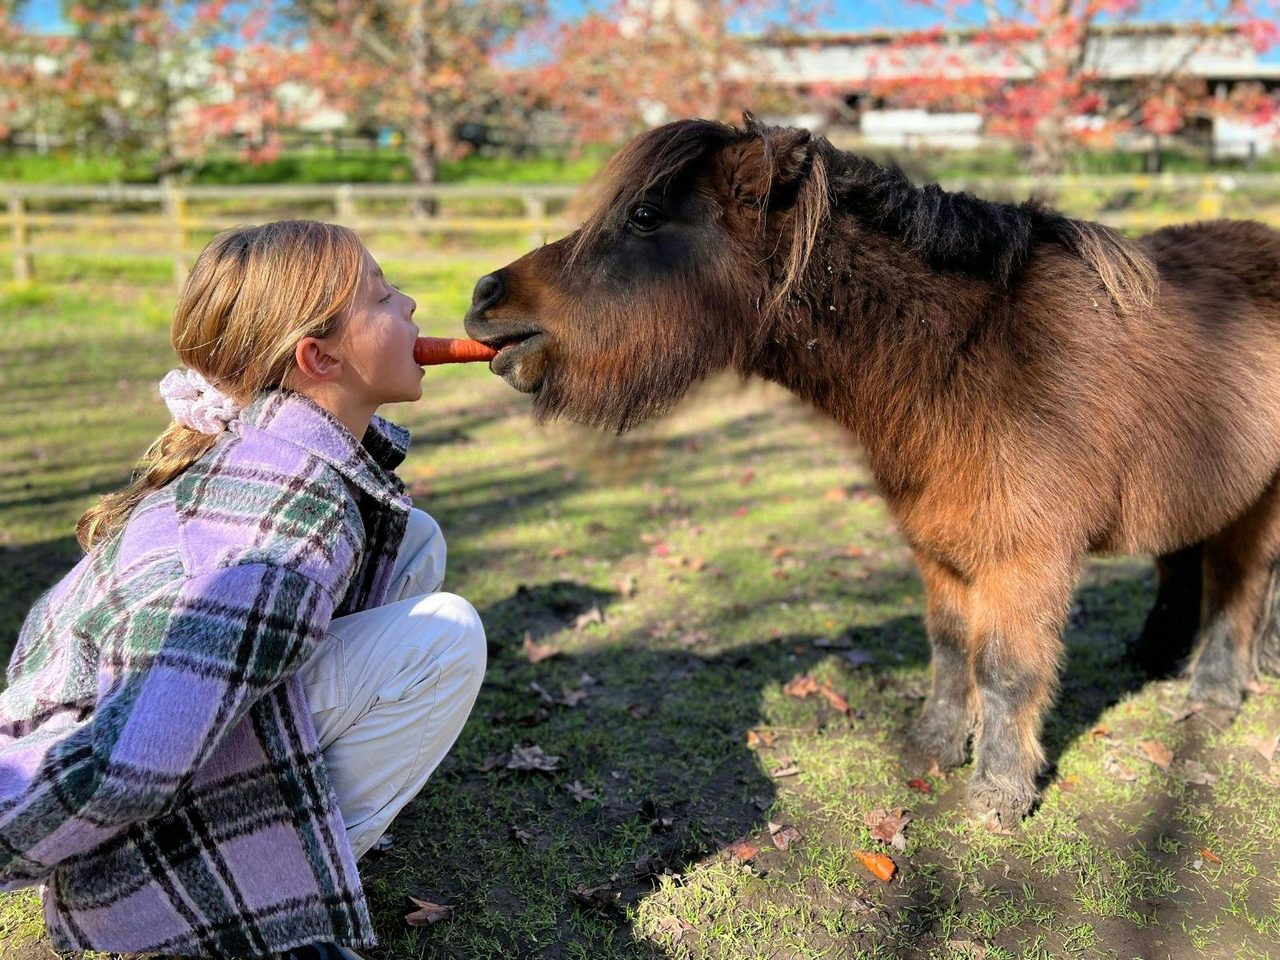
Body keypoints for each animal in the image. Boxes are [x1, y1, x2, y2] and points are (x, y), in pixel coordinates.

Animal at [462, 115, 1280, 829]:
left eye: (642, 217)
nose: (483, 296)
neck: (968, 356)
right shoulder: (939, 547)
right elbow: (951, 652)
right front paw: (933, 747)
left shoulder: (1026, 560)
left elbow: (1006, 671)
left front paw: (999, 793)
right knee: (1185, 566)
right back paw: (1162, 654)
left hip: (1257, 506)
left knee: (1237, 586)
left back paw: (1214, 691)